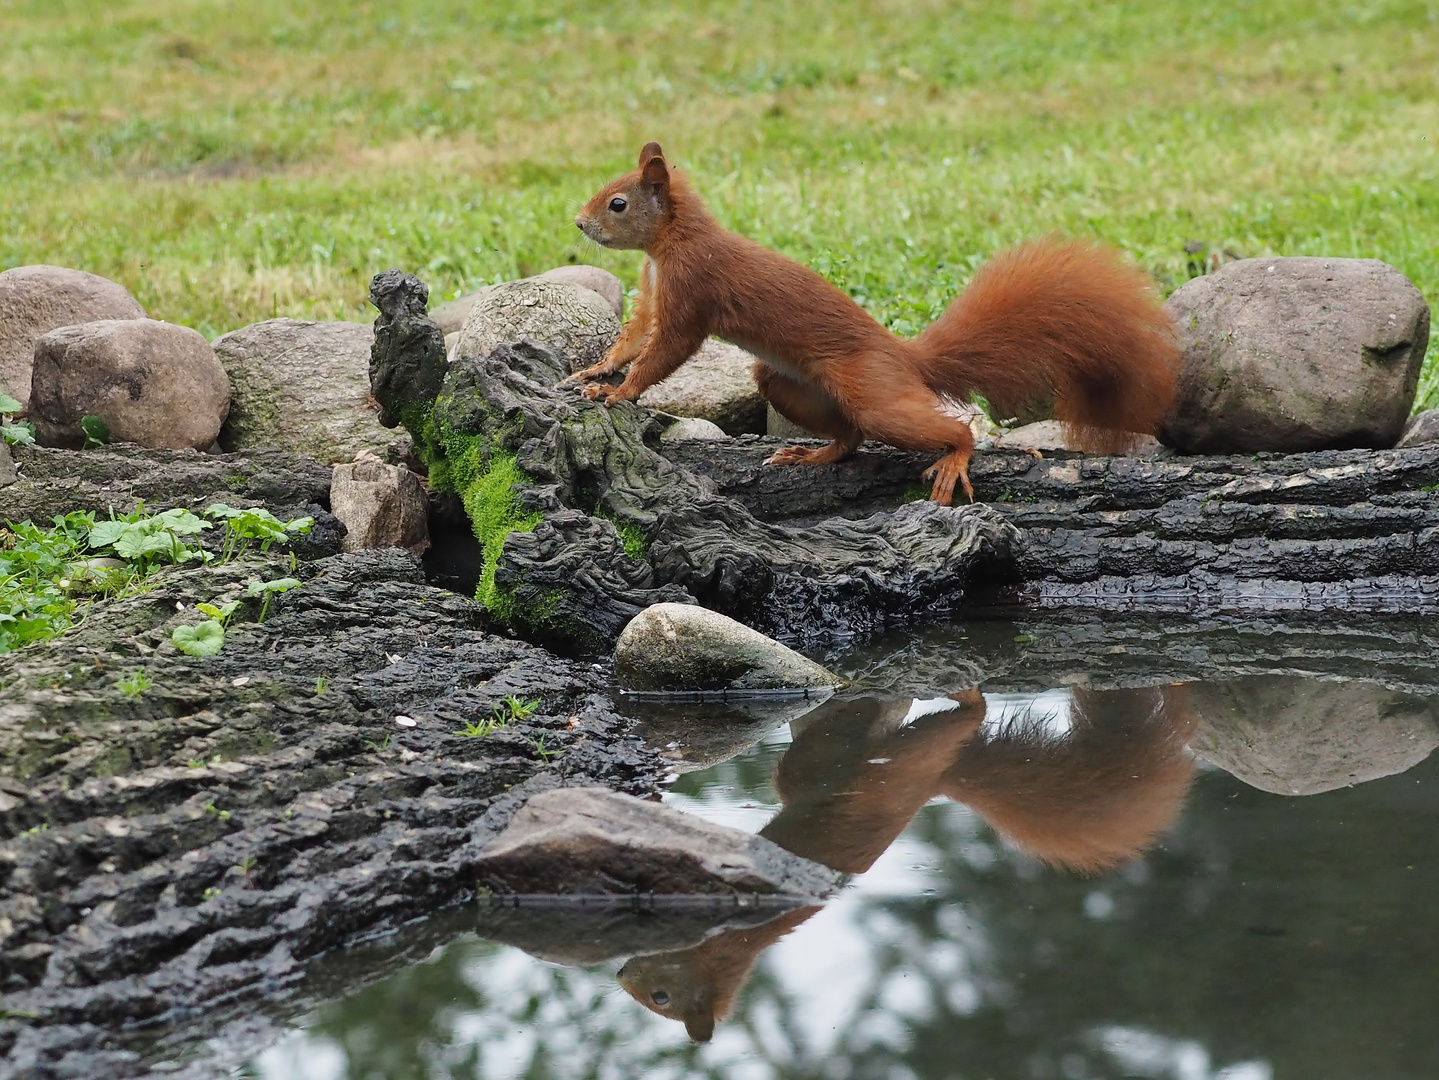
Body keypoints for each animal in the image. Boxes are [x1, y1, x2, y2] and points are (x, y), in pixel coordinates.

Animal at [564, 140, 1179, 506]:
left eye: (618, 204)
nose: (578, 223)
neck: (671, 243)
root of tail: (905, 357)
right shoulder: (653, 292)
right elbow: (635, 336)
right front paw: (594, 373)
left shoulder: (693, 290)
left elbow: (666, 348)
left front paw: (621, 393)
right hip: (789, 383)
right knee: (850, 438)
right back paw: (813, 454)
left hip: (874, 391)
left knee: (939, 428)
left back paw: (954, 458)